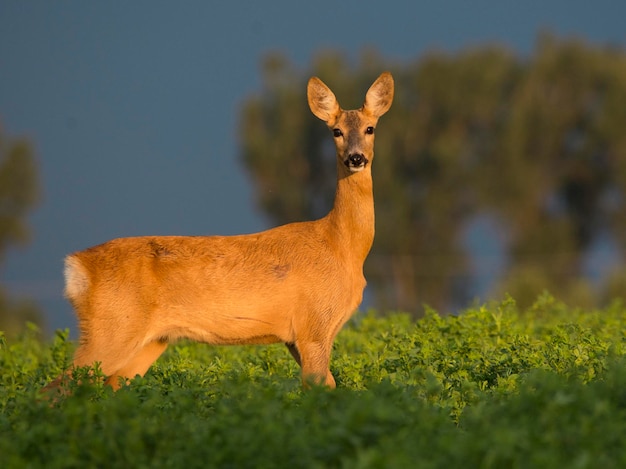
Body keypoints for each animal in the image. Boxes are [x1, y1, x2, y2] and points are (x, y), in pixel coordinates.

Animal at [46, 70, 392, 392]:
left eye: (370, 128)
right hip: (111, 328)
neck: (341, 246)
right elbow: (322, 387)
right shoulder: (314, 326)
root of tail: (77, 266)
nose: (356, 158)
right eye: (336, 131)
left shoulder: (296, 337)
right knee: (54, 387)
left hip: (148, 342)